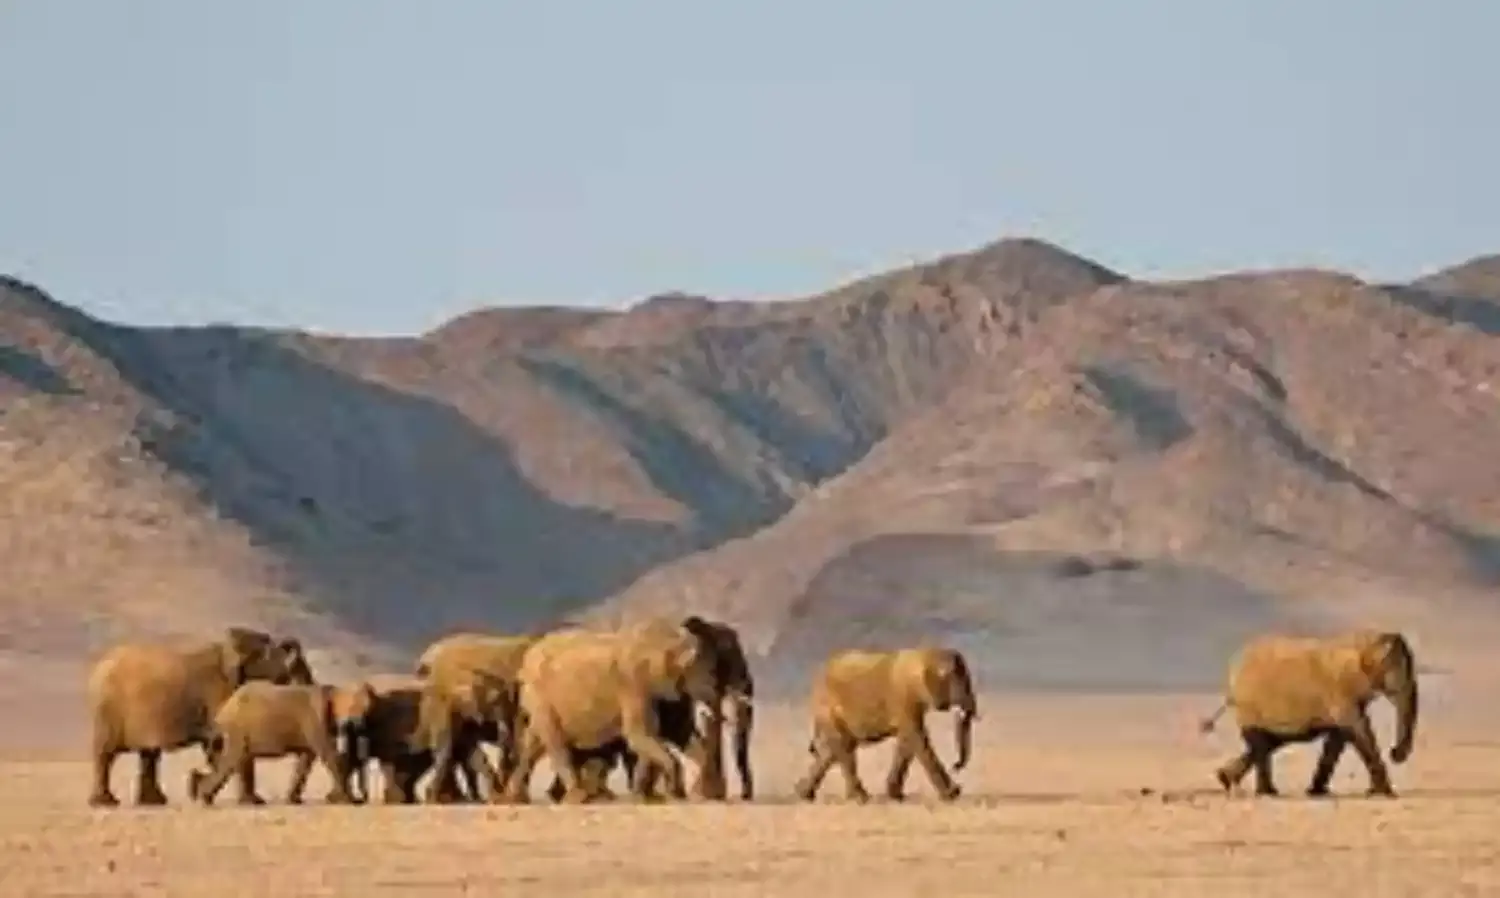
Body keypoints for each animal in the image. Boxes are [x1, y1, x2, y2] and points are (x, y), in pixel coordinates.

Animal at [85, 626, 315, 807]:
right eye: (287, 673)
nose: (293, 800)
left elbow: (222, 746)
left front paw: (200, 791)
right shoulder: (217, 692)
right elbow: (227, 743)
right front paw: (254, 802)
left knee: (149, 754)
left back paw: (153, 802)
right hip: (108, 709)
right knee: (106, 753)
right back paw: (105, 803)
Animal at [186, 680, 378, 806]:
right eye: (359, 711)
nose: (361, 800)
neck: (335, 691)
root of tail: (225, 707)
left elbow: (307, 758)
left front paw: (294, 801)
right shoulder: (315, 719)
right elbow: (328, 754)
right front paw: (348, 801)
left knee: (238, 759)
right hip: (237, 728)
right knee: (233, 758)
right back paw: (205, 797)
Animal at [498, 620, 720, 804]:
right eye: (701, 668)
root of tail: (525, 662)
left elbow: (664, 733)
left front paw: (660, 797)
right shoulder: (633, 684)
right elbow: (638, 734)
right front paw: (672, 795)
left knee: (533, 745)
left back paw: (512, 799)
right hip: (541, 696)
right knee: (553, 741)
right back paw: (577, 798)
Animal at [793, 646, 977, 803]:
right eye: (957, 683)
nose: (955, 765)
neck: (924, 654)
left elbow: (907, 741)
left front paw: (896, 796)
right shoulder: (903, 698)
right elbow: (916, 737)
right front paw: (952, 794)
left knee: (832, 751)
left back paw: (804, 794)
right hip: (829, 709)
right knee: (843, 748)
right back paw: (862, 799)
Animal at [1198, 630, 1419, 798]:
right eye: (1398, 673)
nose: (1394, 752)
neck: (1365, 641)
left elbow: (1339, 737)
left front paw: (1317, 793)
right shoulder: (1339, 691)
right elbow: (1358, 729)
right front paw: (1386, 794)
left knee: (1271, 741)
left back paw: (1226, 779)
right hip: (1250, 705)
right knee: (1261, 743)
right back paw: (1267, 793)